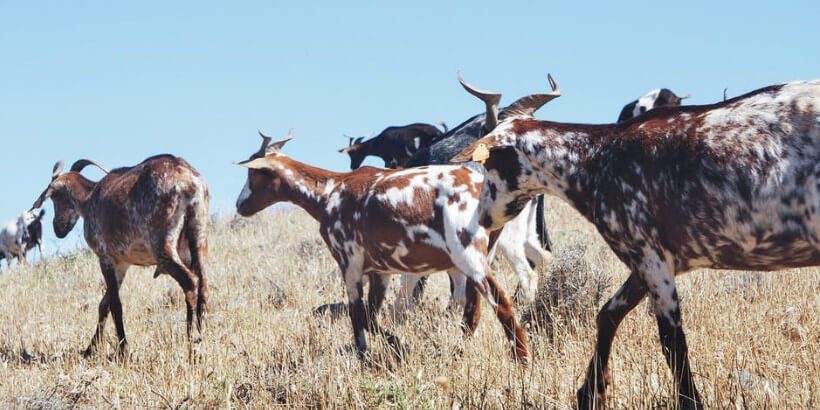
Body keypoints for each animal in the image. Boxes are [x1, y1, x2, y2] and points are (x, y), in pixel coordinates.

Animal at [32, 156, 209, 358]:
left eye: (55, 198)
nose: (58, 228)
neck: (89, 199)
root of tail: (189, 182)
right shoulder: (122, 264)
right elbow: (104, 304)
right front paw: (90, 349)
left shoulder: (106, 258)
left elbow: (116, 305)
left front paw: (123, 350)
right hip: (198, 236)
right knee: (203, 286)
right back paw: (201, 335)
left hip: (164, 246)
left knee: (190, 282)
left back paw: (192, 339)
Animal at [236, 131, 529, 362]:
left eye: (253, 171)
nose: (240, 205)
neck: (331, 191)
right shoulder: (381, 271)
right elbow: (371, 317)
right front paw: (399, 345)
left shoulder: (350, 264)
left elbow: (357, 318)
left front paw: (366, 356)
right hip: (481, 257)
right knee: (473, 312)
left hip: (469, 256)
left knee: (502, 304)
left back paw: (522, 360)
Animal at [454, 76, 820, 409]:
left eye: (489, 165)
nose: (483, 218)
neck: (596, 158)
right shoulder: (651, 261)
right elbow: (608, 314)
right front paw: (592, 392)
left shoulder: (649, 257)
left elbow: (671, 341)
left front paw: (689, 402)